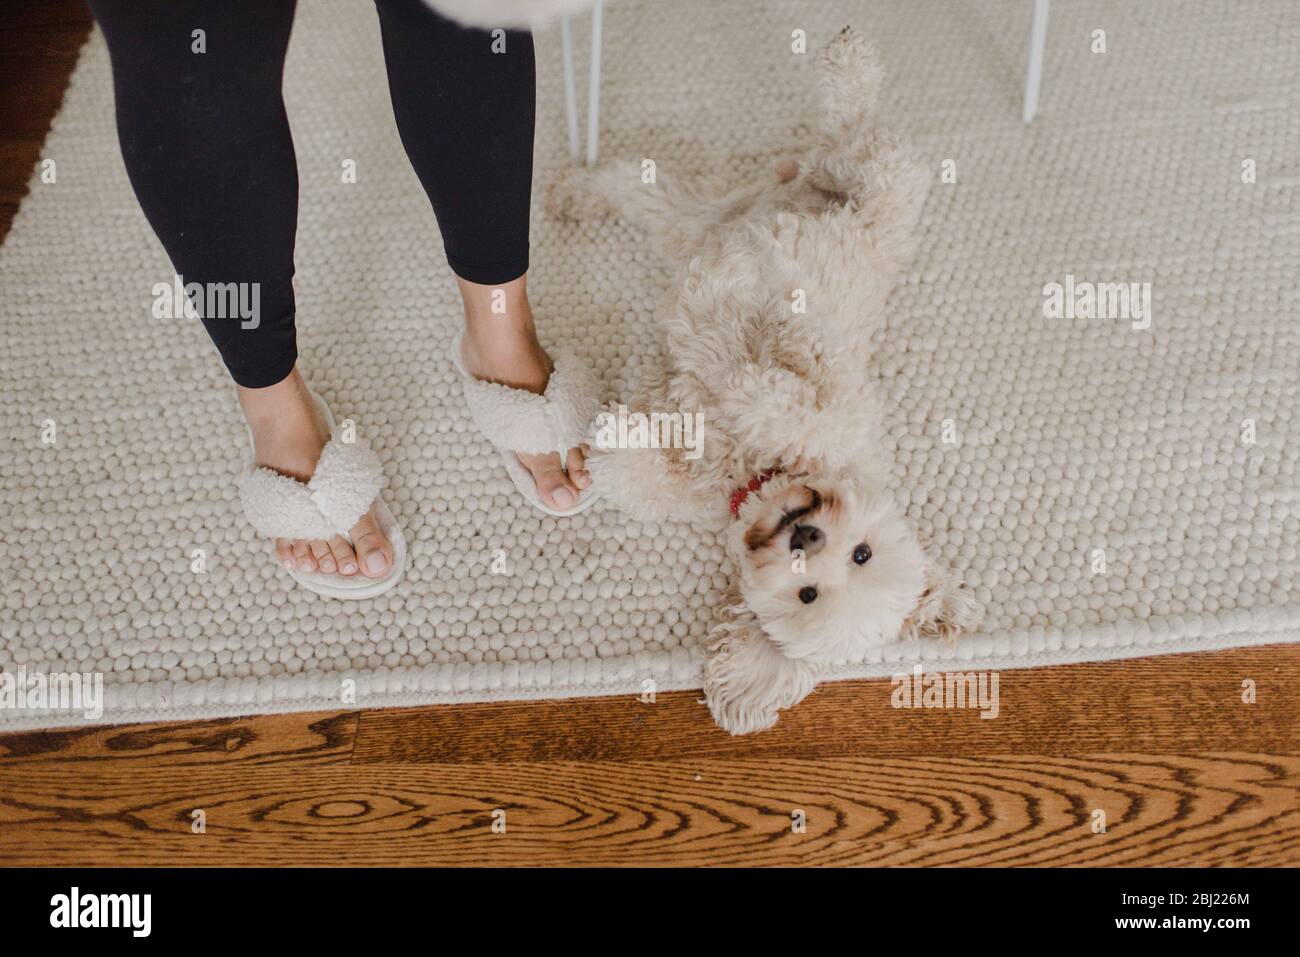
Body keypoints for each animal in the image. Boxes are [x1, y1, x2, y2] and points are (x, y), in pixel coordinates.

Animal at [543, 27, 977, 733]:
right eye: (862, 553)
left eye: (810, 592)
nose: (805, 533)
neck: (758, 471)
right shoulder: (836, 392)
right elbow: (799, 392)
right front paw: (750, 372)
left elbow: (646, 468)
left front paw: (624, 445)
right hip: (837, 191)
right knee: (854, 124)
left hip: (710, 218)